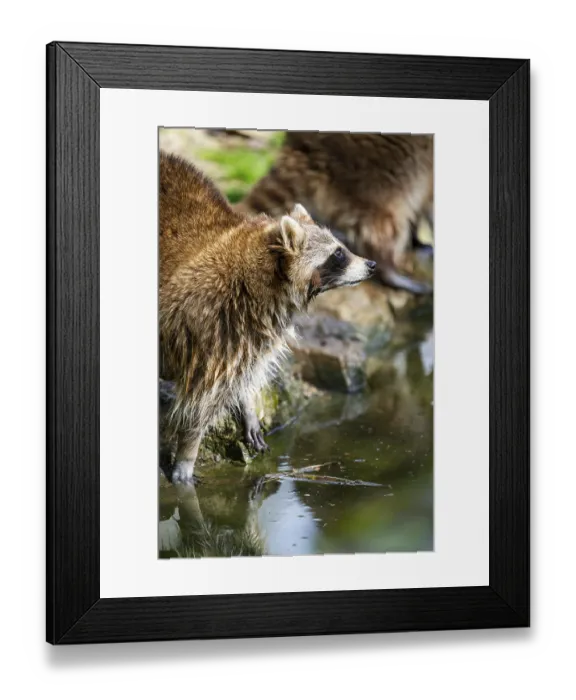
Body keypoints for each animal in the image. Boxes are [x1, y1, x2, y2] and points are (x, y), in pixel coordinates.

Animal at [159, 152, 375, 484]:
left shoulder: (254, 326)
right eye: (338, 254)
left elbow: (244, 371)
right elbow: (201, 397)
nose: (371, 265)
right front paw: (187, 452)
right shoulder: (211, 318)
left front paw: (246, 403)